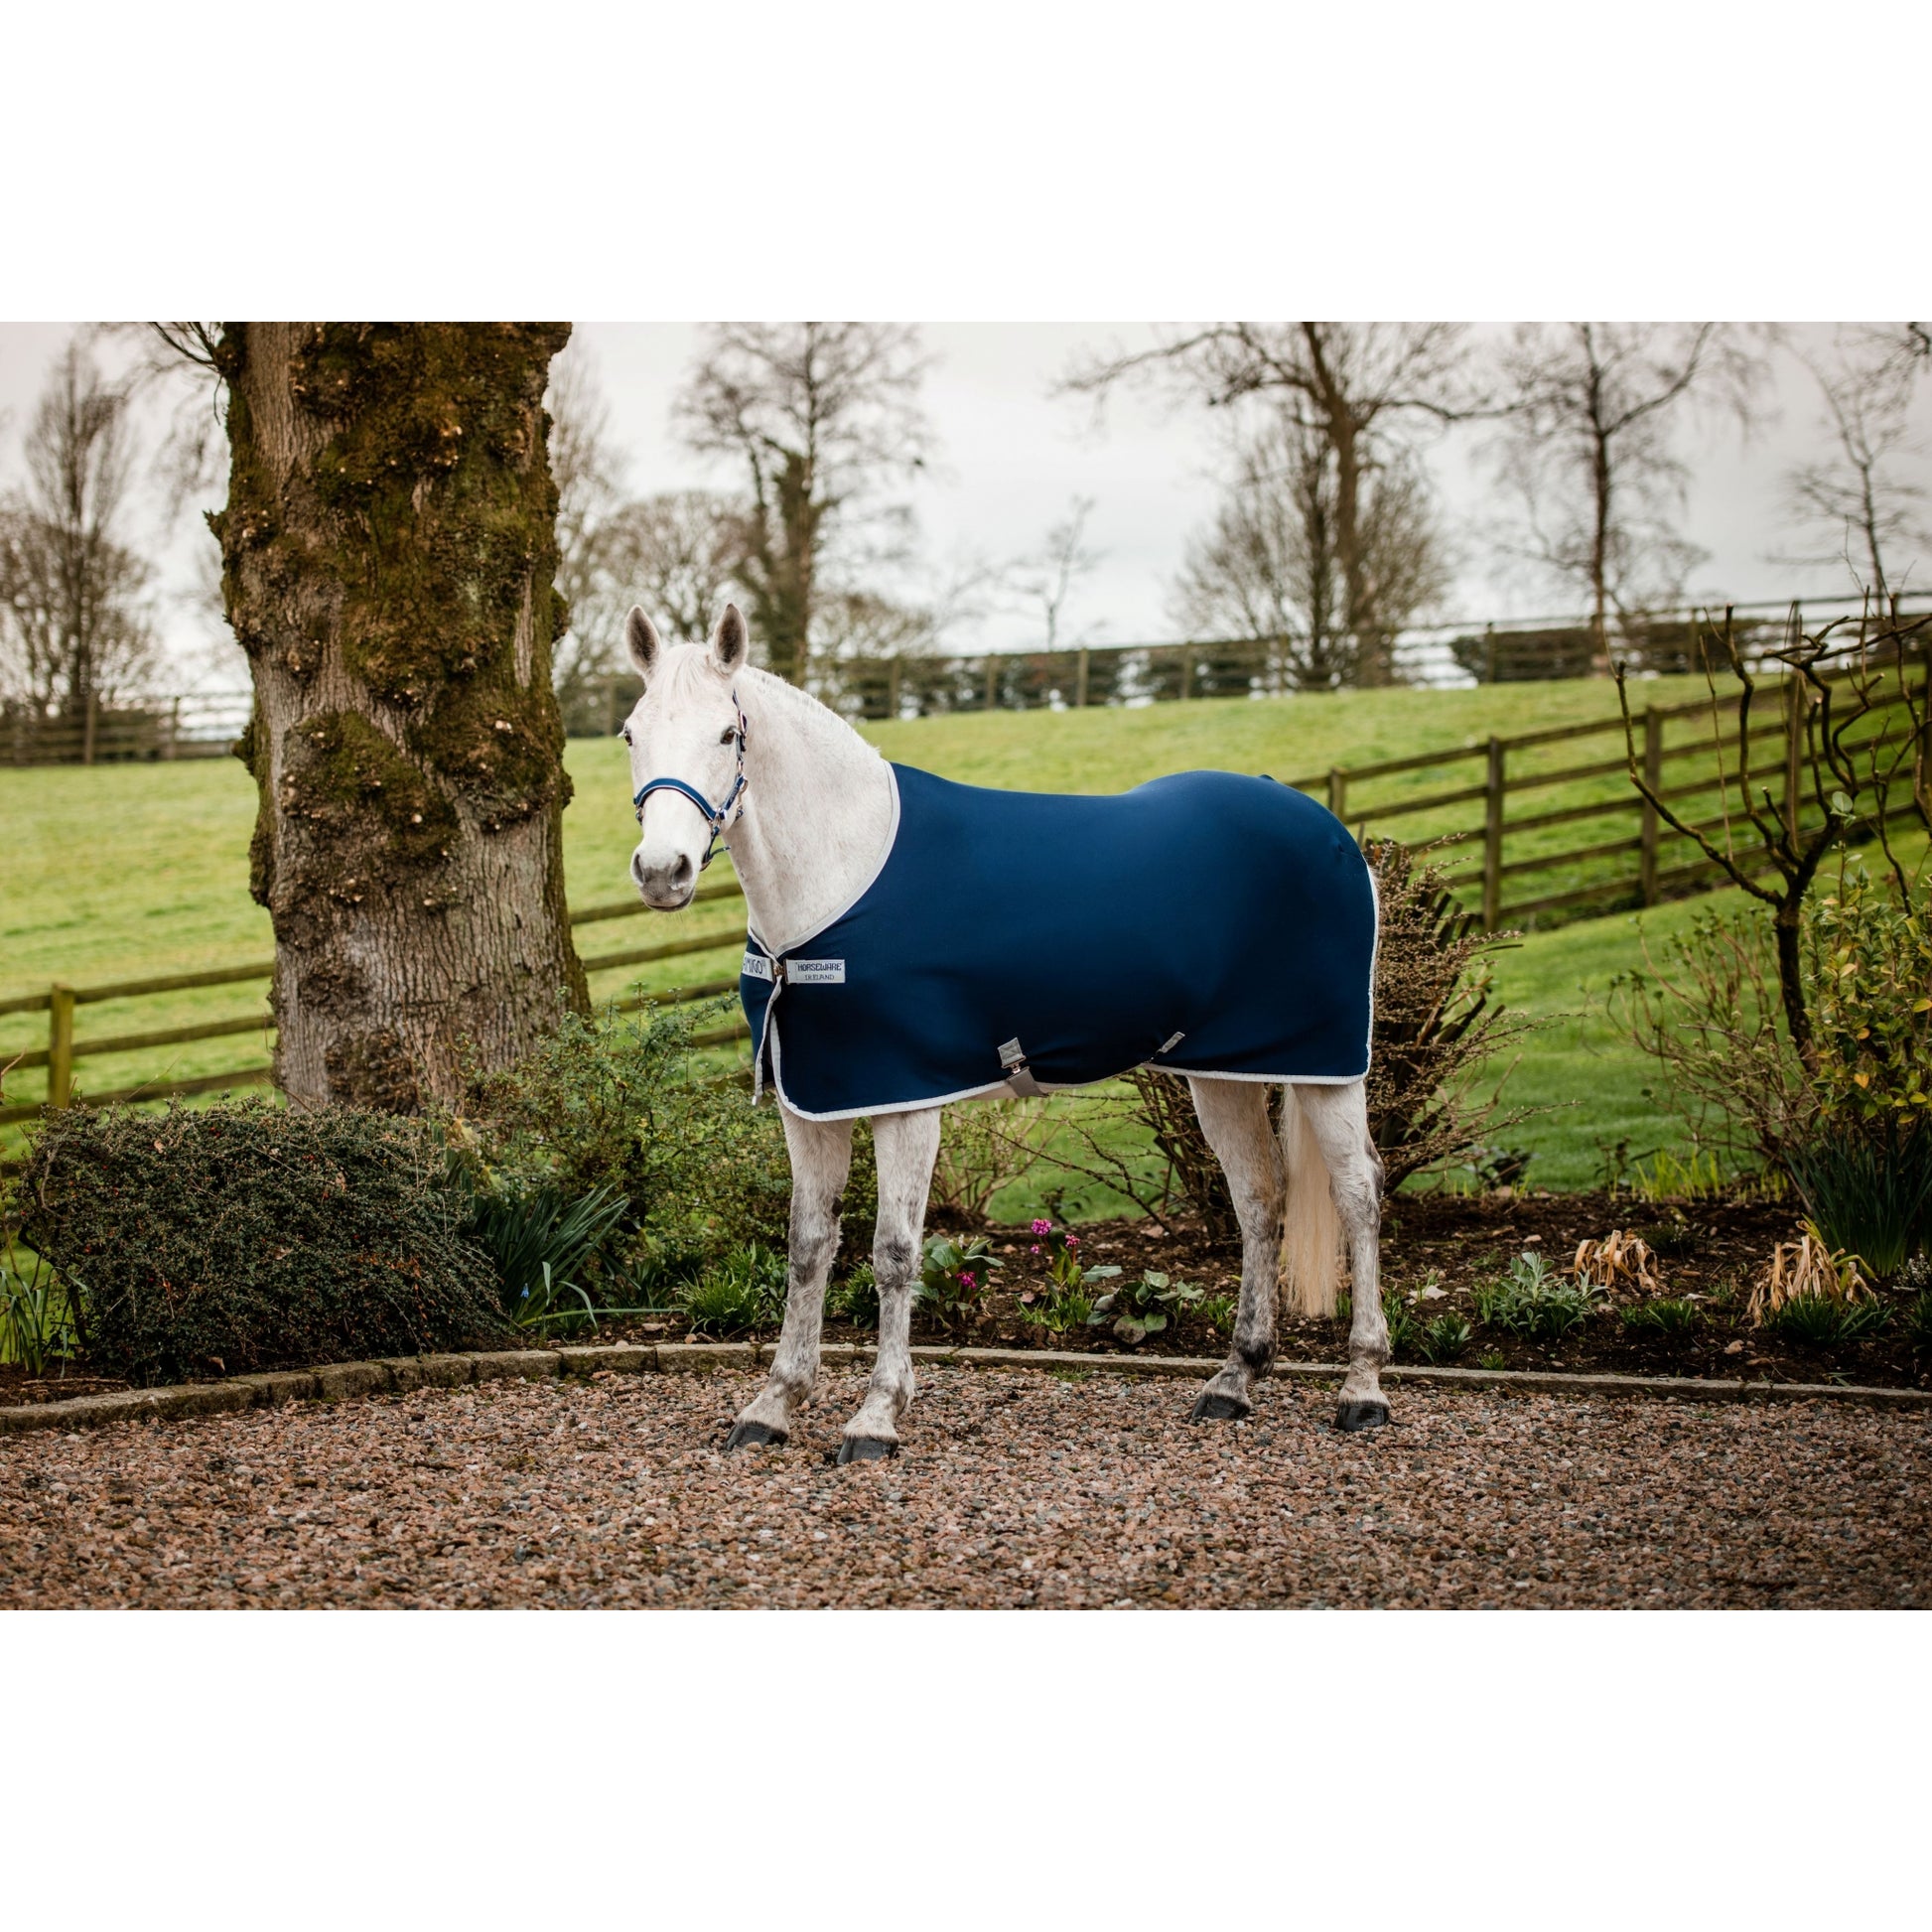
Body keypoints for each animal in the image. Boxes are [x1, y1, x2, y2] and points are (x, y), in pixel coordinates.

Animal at [619, 603, 1389, 1463]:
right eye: (630, 732)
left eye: (727, 733)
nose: (662, 871)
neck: (840, 875)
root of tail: (1324, 828)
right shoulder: (809, 1103)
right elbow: (809, 1245)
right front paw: (774, 1403)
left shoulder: (905, 1101)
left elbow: (893, 1254)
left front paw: (876, 1416)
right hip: (1223, 1073)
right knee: (1258, 1198)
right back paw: (1235, 1379)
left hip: (1328, 1067)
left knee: (1359, 1194)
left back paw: (1363, 1387)